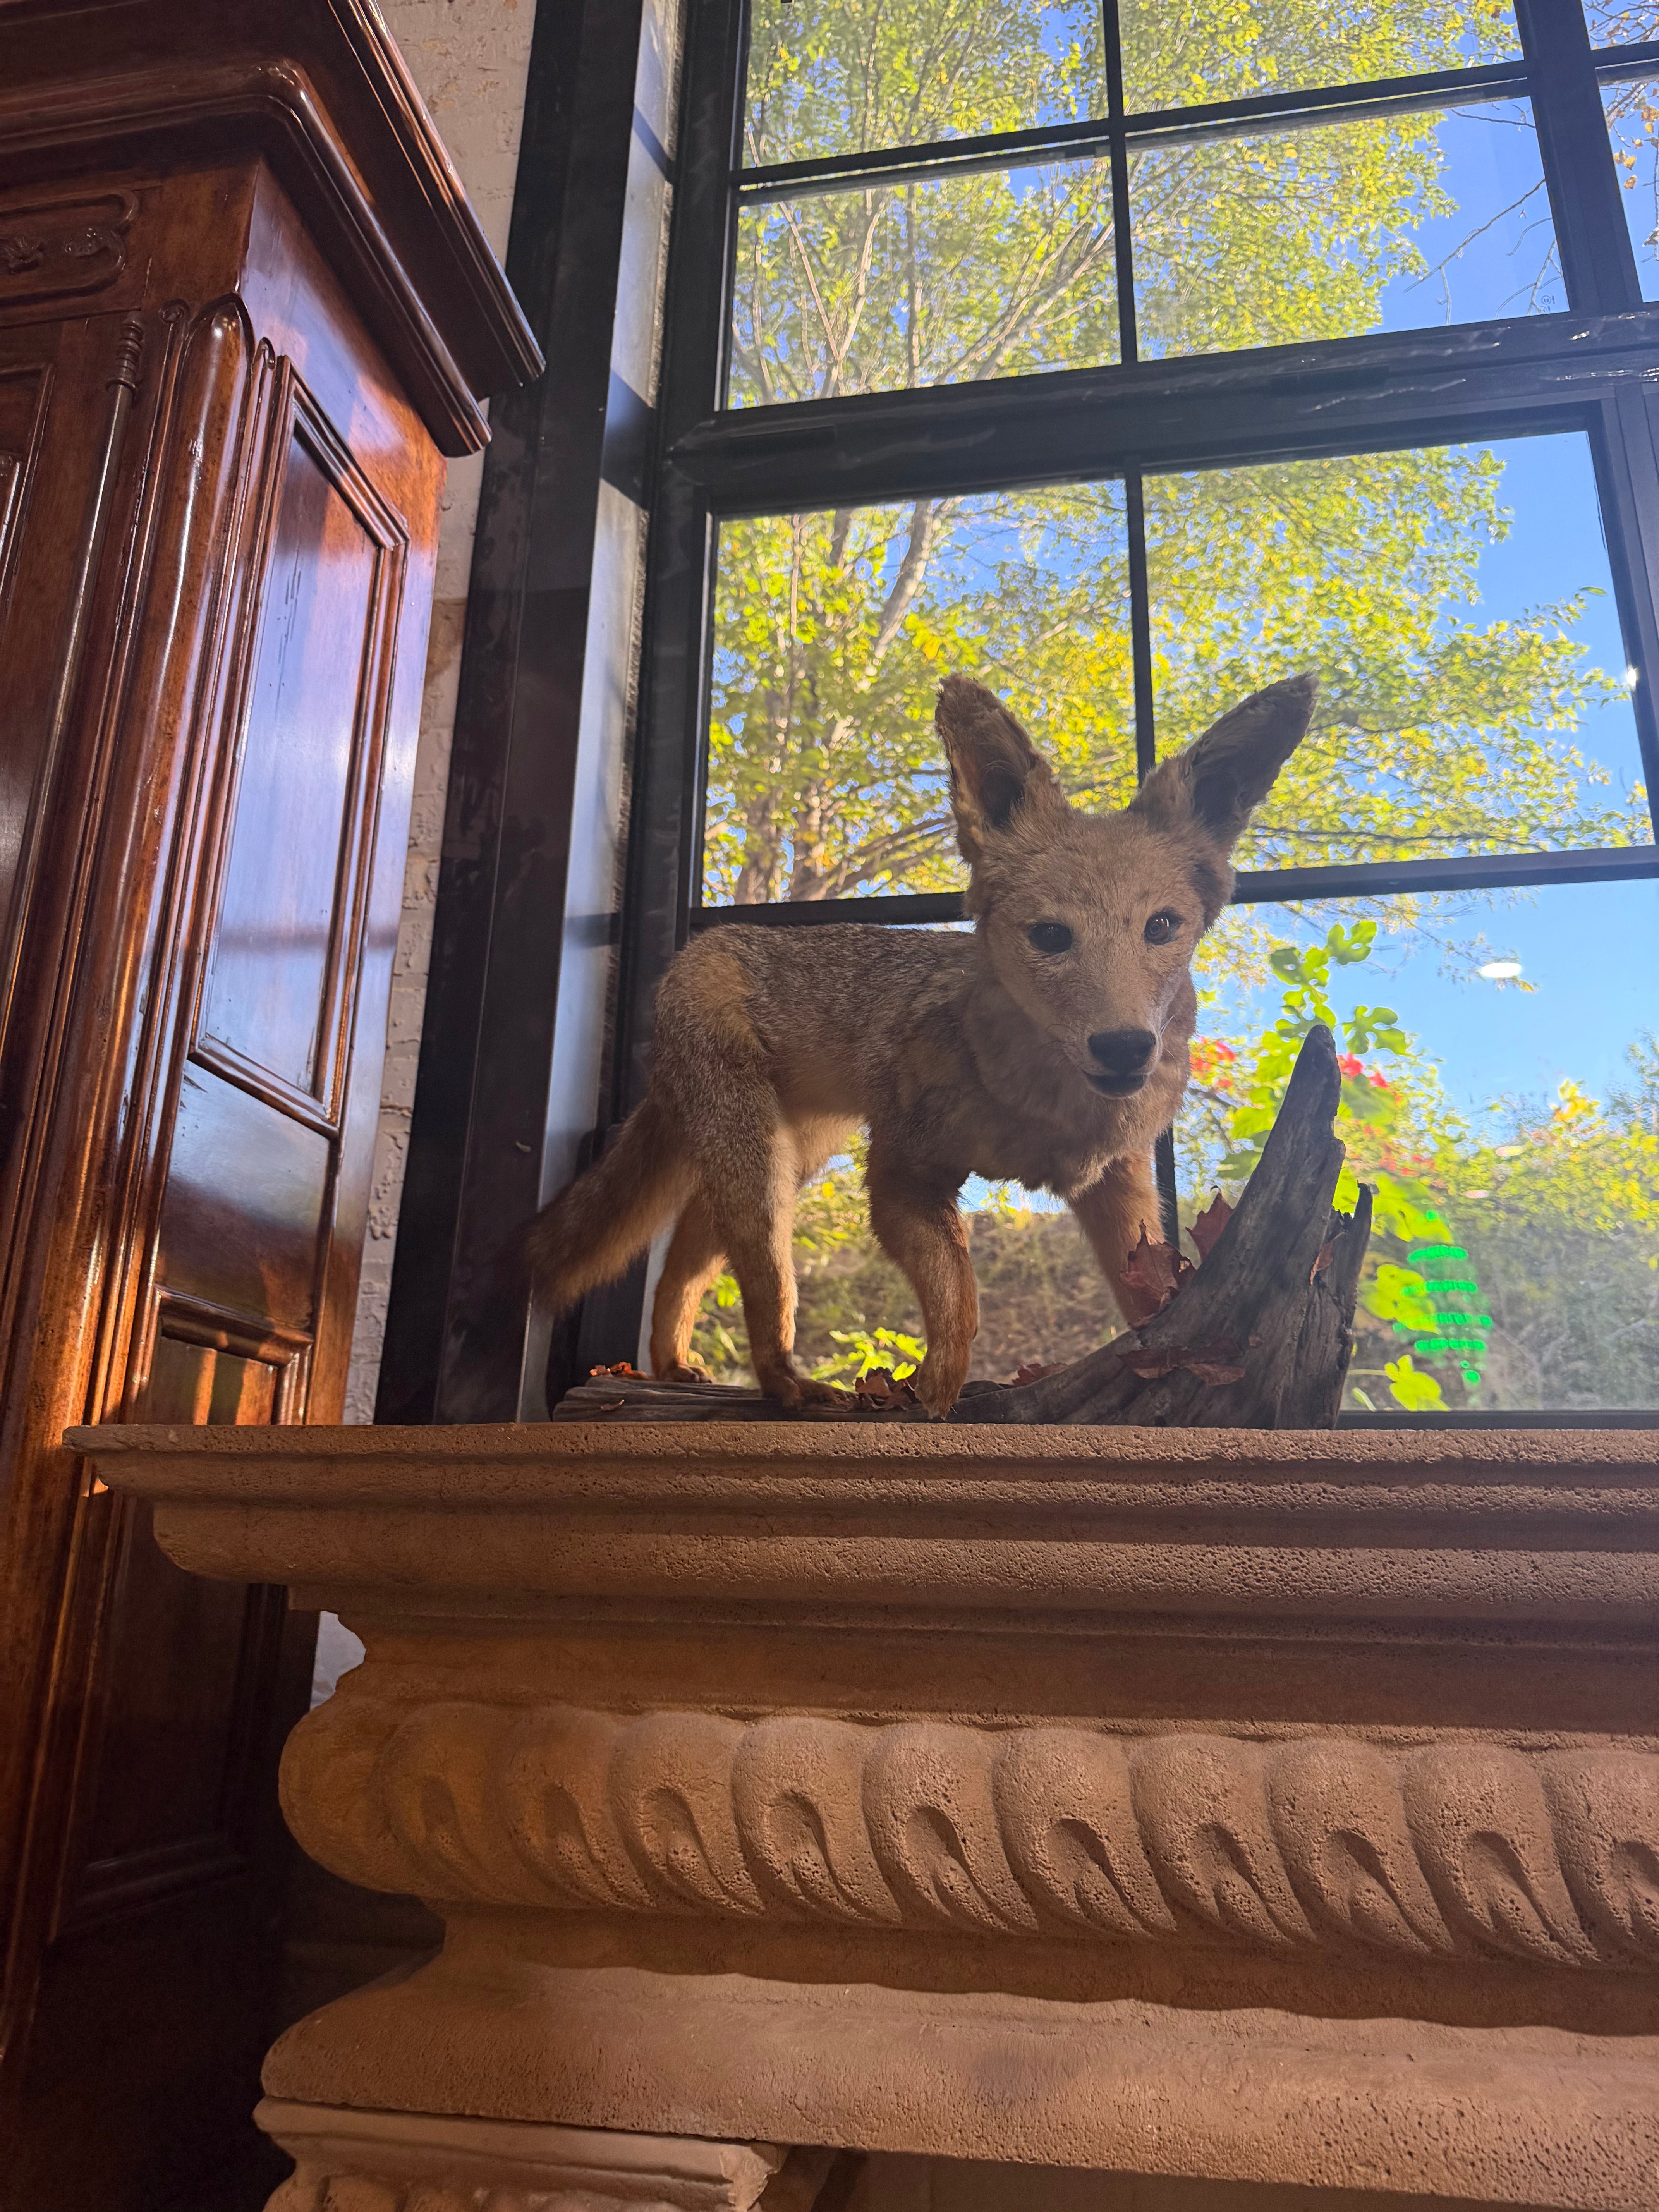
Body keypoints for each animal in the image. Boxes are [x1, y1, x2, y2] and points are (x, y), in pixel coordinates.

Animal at [529, 669, 1318, 1416]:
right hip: (764, 1178)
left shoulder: (1116, 1180)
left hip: (793, 1159)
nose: (1124, 1048)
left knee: (687, 1255)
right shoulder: (903, 1174)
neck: (1044, 1110)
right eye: (1050, 937)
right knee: (759, 1283)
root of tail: (700, 948)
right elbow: (959, 1303)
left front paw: (1178, 1368)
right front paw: (935, 1398)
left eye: (1161, 927)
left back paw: (671, 1365)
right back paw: (783, 1384)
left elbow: (1146, 1297)